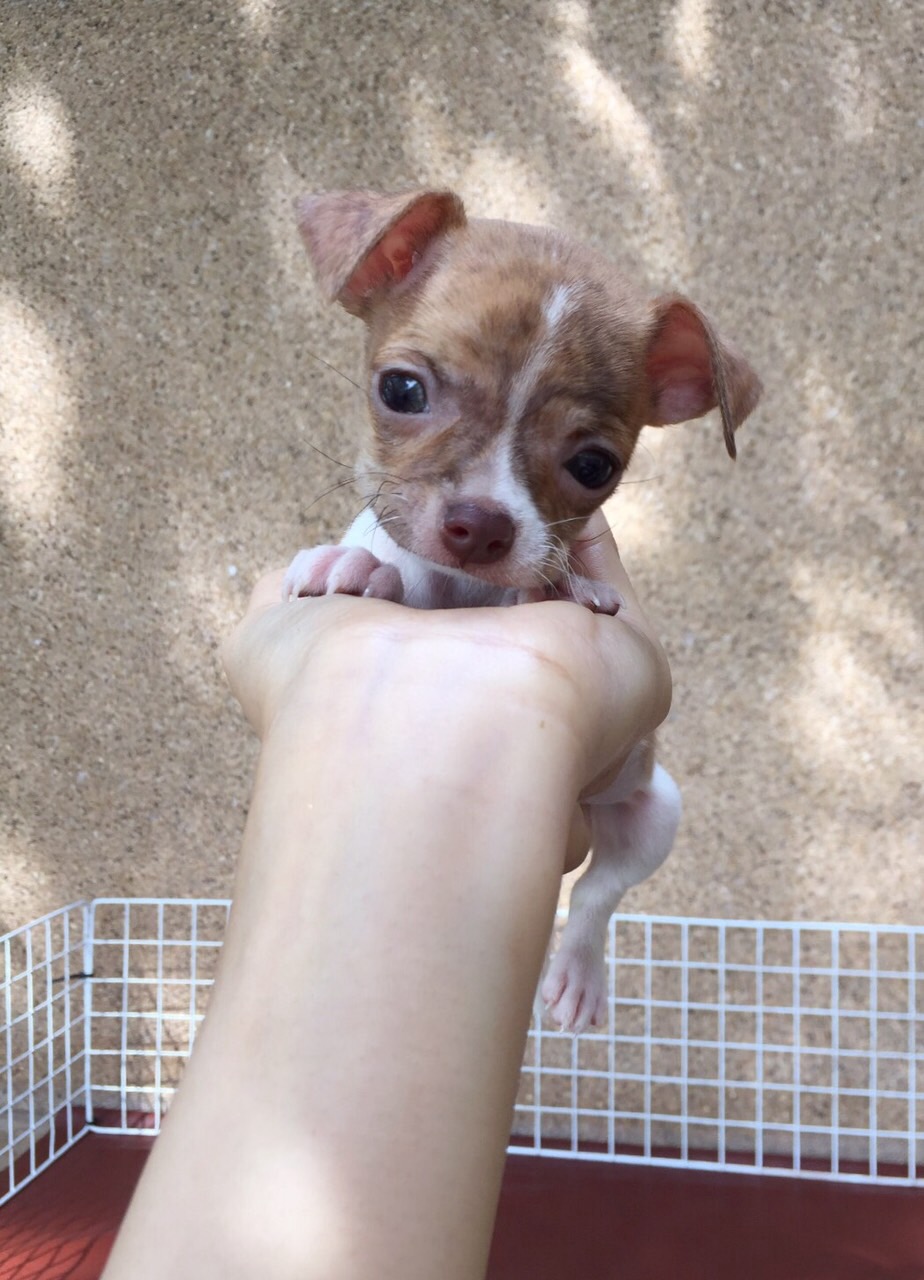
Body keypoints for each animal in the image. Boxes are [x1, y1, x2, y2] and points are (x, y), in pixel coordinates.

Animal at [283, 188, 761, 1032]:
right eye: (401, 391)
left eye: (594, 465)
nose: (481, 523)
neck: (461, 590)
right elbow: (394, 567)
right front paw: (358, 567)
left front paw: (565, 588)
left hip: (654, 812)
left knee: (597, 895)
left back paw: (577, 976)